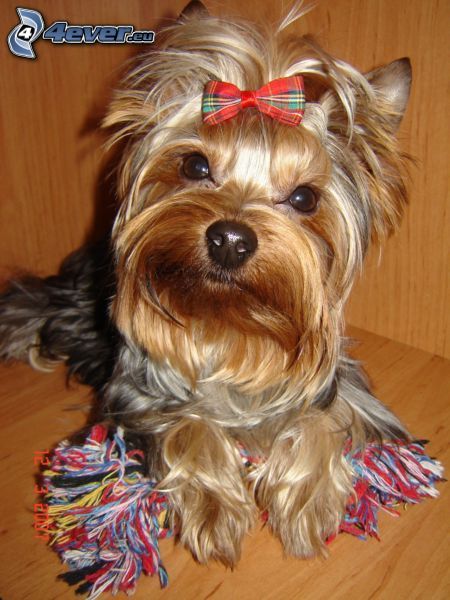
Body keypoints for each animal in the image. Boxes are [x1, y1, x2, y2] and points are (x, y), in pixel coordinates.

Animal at [0, 0, 412, 568]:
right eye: (195, 165)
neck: (229, 323)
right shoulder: (137, 395)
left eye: (304, 198)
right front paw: (216, 507)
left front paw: (307, 504)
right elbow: (186, 424)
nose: (230, 239)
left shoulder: (346, 393)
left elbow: (324, 422)